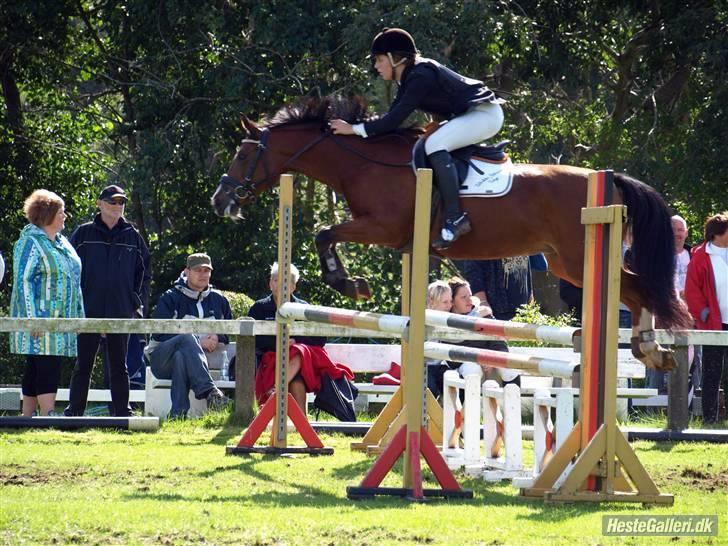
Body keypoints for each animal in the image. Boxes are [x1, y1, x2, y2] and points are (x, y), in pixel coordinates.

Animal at [213, 96, 692, 370]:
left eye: (243, 155)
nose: (220, 200)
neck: (366, 163)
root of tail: (608, 181)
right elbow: (324, 233)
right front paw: (350, 281)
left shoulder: (382, 227)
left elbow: (323, 232)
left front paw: (349, 283)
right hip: (565, 263)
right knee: (635, 288)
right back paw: (650, 349)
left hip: (579, 258)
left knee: (639, 288)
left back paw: (651, 349)